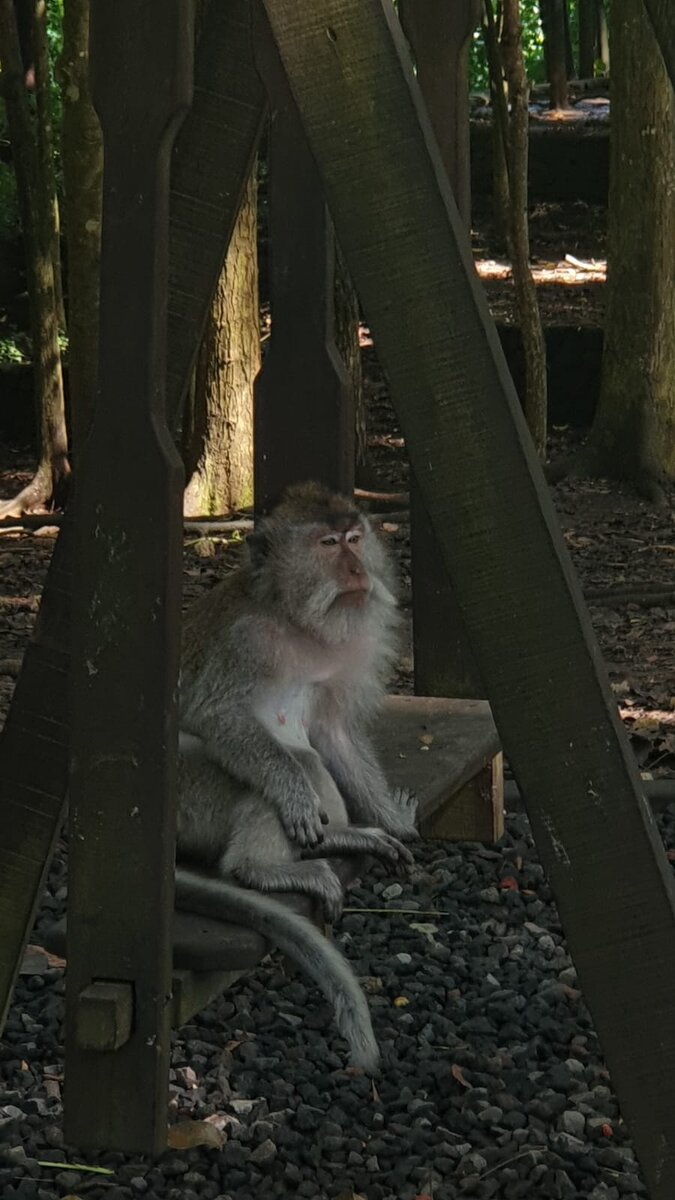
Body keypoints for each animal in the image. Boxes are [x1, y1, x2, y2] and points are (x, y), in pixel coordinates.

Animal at [172, 482, 415, 1075]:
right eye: (327, 544)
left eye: (355, 538)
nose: (356, 570)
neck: (297, 622)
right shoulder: (242, 642)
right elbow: (219, 717)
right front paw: (295, 800)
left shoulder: (351, 647)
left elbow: (334, 732)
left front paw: (390, 819)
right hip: (187, 795)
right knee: (295, 764)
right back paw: (262, 867)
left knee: (314, 760)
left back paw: (339, 837)